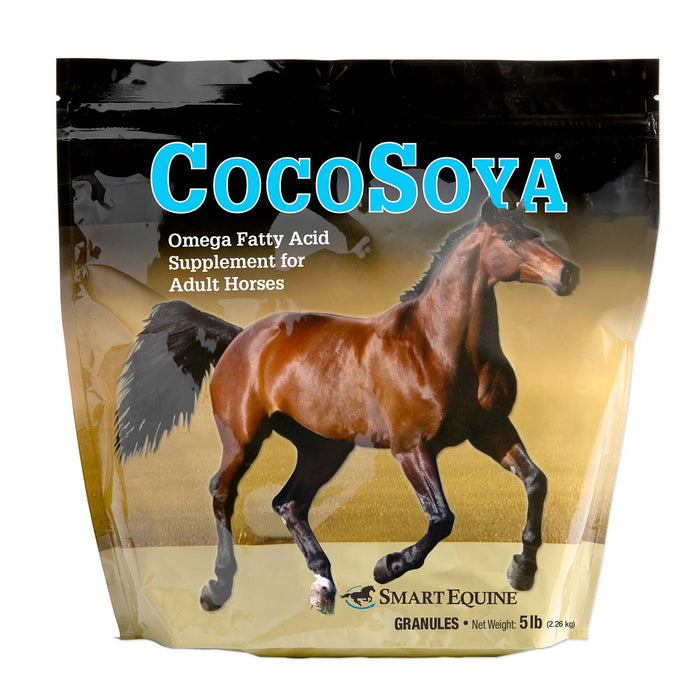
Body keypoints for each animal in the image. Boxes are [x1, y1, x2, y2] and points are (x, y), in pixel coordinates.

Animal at [116, 197, 579, 615]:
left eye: (536, 234)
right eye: (508, 237)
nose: (567, 273)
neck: (437, 346)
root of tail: (238, 337)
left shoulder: (491, 430)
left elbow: (536, 482)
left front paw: (522, 570)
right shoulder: (411, 448)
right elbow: (441, 518)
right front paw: (387, 566)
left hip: (323, 447)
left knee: (290, 503)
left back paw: (323, 585)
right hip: (244, 440)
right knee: (223, 493)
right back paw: (217, 588)